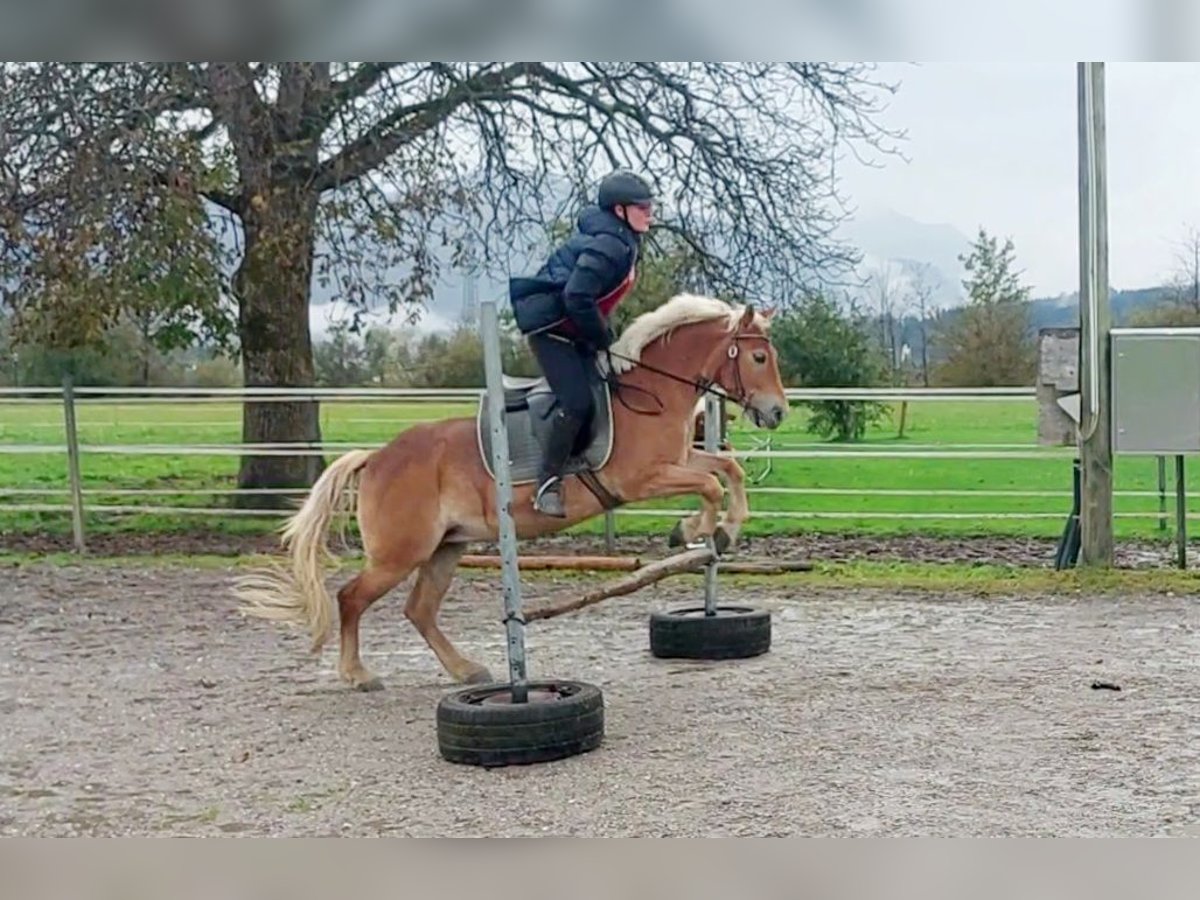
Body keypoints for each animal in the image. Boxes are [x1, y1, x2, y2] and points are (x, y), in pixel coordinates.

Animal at [232, 294, 787, 691]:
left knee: (419, 611)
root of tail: (377, 458)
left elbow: (728, 469)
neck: (650, 392)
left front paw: (721, 531)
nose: (777, 413)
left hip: (446, 548)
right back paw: (357, 675)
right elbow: (710, 484)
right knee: (351, 598)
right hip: (401, 552)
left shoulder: (679, 460)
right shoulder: (642, 478)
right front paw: (697, 530)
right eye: (759, 356)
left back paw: (466, 671)